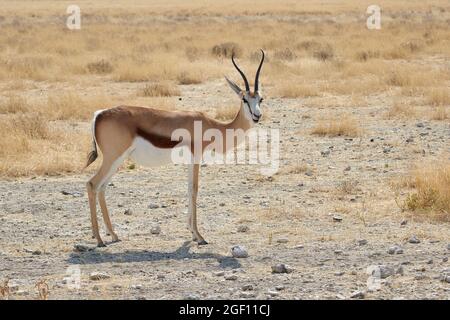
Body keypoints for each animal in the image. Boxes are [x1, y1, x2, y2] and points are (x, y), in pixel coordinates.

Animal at [85, 49, 264, 248]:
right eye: (244, 99)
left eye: (260, 99)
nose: (257, 116)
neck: (211, 125)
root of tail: (99, 114)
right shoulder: (196, 157)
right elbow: (194, 189)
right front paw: (199, 236)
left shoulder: (190, 161)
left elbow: (188, 189)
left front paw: (192, 234)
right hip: (113, 158)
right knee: (92, 184)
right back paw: (99, 239)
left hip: (118, 160)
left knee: (102, 187)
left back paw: (113, 235)